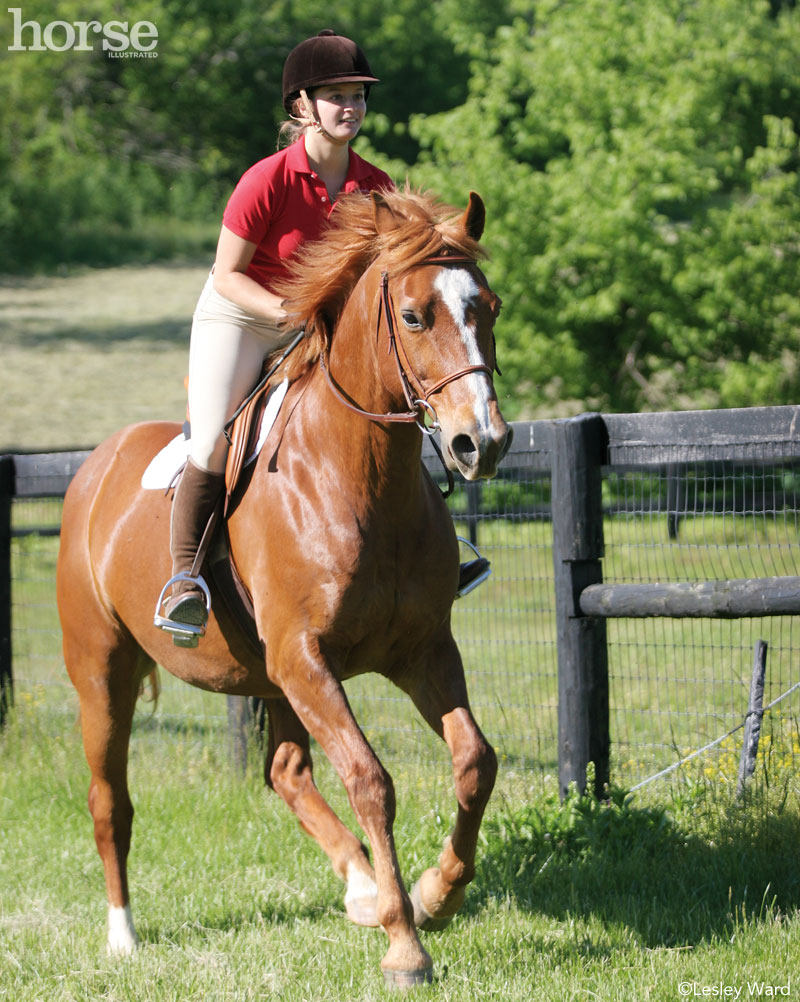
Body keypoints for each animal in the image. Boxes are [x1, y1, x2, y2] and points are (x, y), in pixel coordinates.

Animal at [59, 188, 517, 985]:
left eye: (486, 306)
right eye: (414, 316)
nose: (480, 444)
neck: (358, 475)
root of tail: (94, 465)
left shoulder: (421, 651)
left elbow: (474, 762)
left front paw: (436, 893)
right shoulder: (307, 658)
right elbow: (370, 779)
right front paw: (406, 945)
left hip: (268, 677)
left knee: (286, 770)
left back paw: (362, 888)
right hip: (103, 674)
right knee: (110, 800)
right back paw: (123, 937)